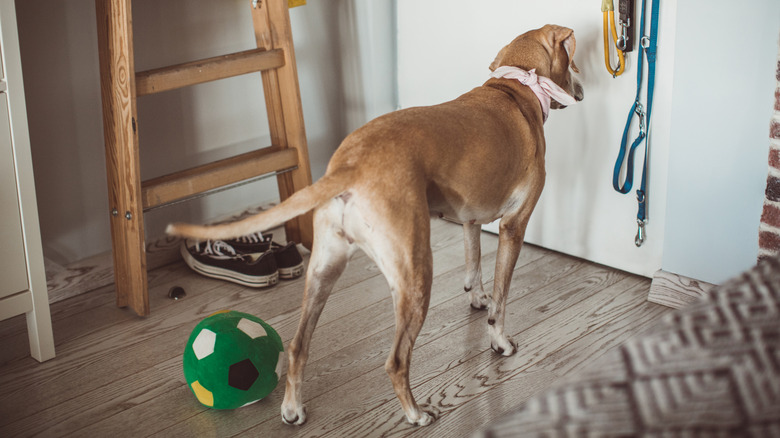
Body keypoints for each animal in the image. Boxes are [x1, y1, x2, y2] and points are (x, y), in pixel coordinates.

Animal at [168, 24, 580, 428]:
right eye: (574, 61)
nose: (581, 86)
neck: (514, 89)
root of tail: (351, 165)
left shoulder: (470, 219)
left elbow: (474, 263)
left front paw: (477, 297)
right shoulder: (514, 227)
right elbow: (501, 297)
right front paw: (500, 341)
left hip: (323, 270)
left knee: (299, 346)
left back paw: (292, 409)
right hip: (415, 276)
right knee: (396, 361)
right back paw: (416, 413)